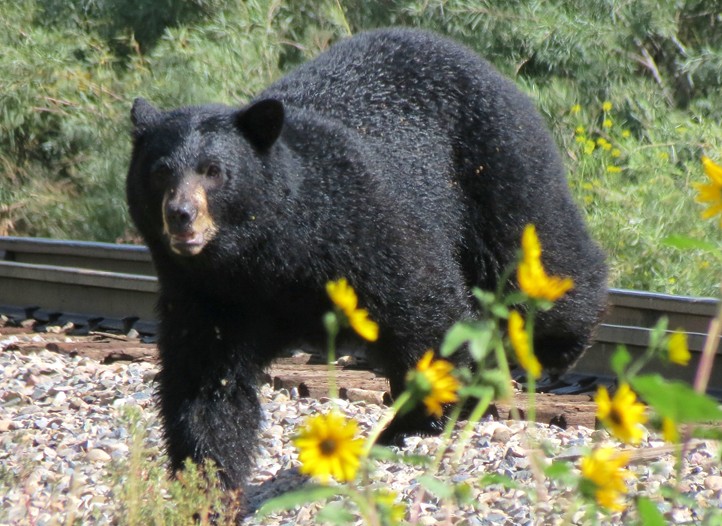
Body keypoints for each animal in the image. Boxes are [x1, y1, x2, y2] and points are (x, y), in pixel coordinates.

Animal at [126, 27, 604, 500]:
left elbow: (421, 306)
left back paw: (557, 345)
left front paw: (422, 416)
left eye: (214, 171)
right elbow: (206, 381)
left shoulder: (360, 226)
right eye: (160, 172)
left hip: (495, 158)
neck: (263, 255)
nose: (181, 214)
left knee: (535, 242)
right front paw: (207, 479)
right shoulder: (207, 292)